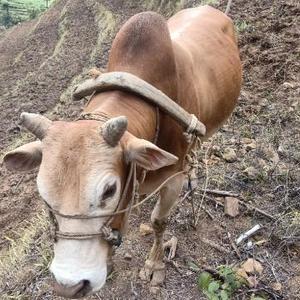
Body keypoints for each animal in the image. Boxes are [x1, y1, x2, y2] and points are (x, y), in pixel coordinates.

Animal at [2, 4, 241, 298]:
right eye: (43, 196)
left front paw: (154, 266)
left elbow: (159, 221)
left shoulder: (172, 178)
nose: (70, 286)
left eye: (109, 191)